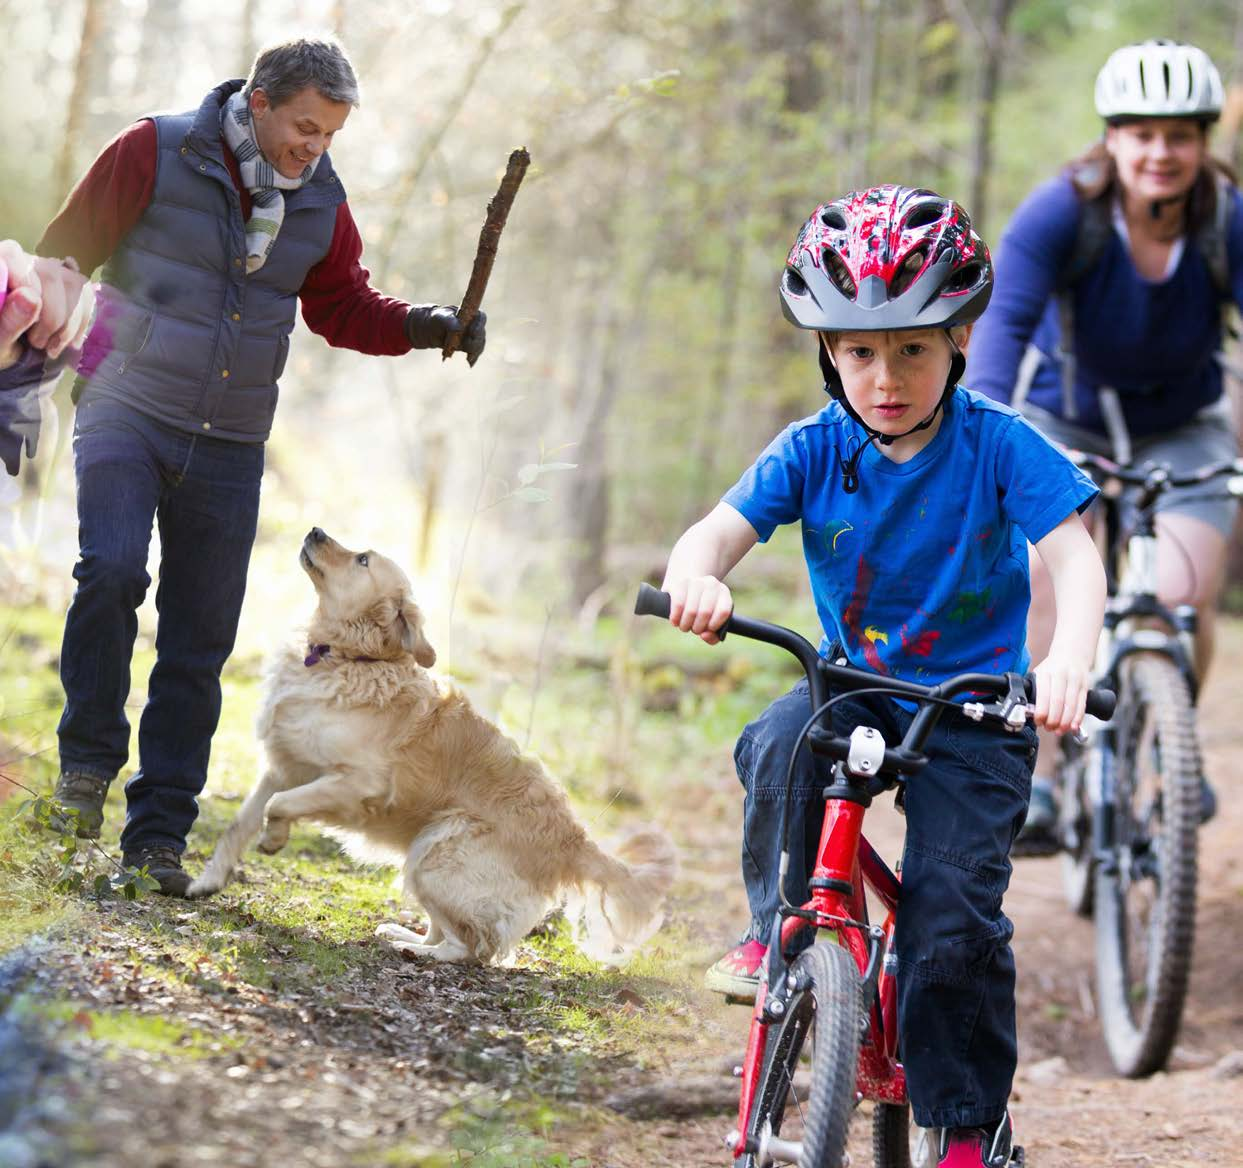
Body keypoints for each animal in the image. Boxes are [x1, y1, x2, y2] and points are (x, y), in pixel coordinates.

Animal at [191, 531, 681, 969]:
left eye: (362, 559)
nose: (315, 530)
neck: (346, 657)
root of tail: (574, 839)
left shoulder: (355, 782)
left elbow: (280, 804)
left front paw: (274, 838)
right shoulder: (284, 764)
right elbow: (240, 822)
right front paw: (208, 881)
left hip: (437, 853)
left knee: (473, 948)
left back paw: (413, 951)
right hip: (422, 857)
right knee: (447, 931)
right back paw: (402, 934)